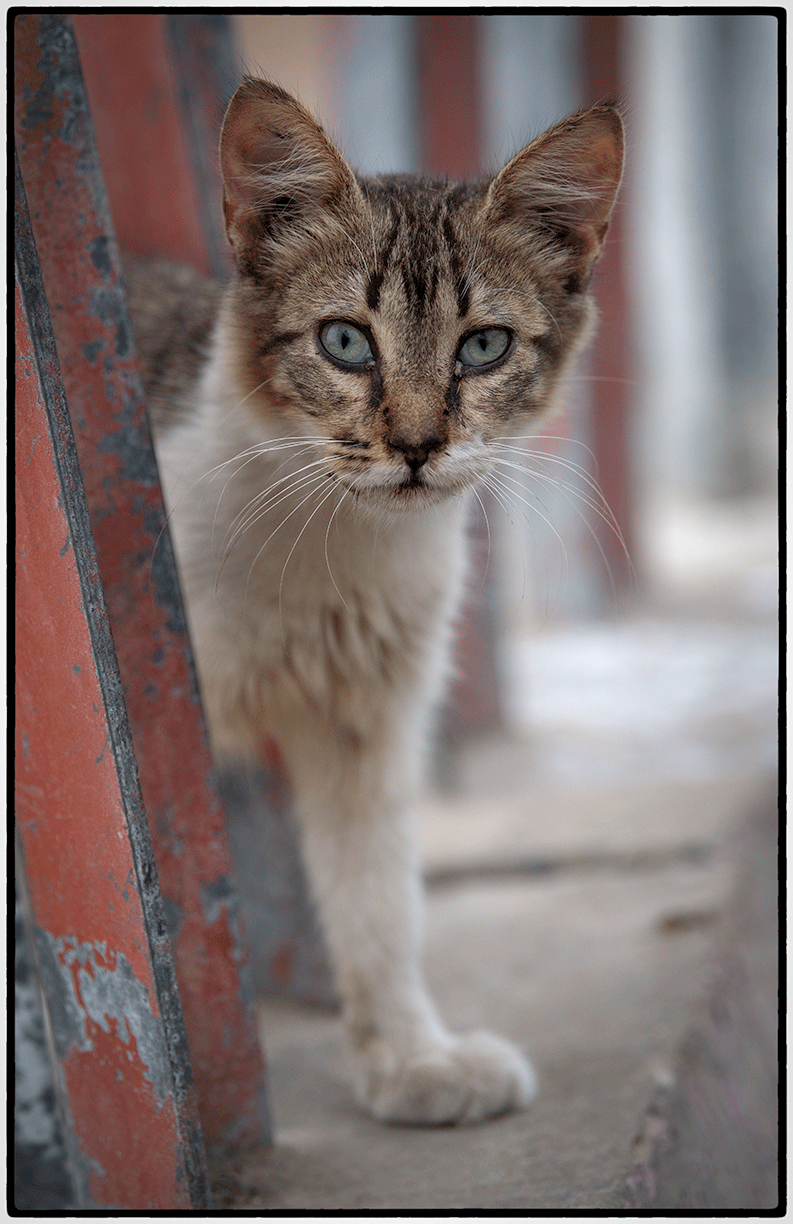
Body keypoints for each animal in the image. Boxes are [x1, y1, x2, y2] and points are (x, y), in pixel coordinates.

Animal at [125, 78, 626, 1126]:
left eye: (483, 348)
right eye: (346, 342)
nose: (416, 445)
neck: (330, 550)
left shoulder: (367, 720)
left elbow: (376, 900)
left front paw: (408, 1058)